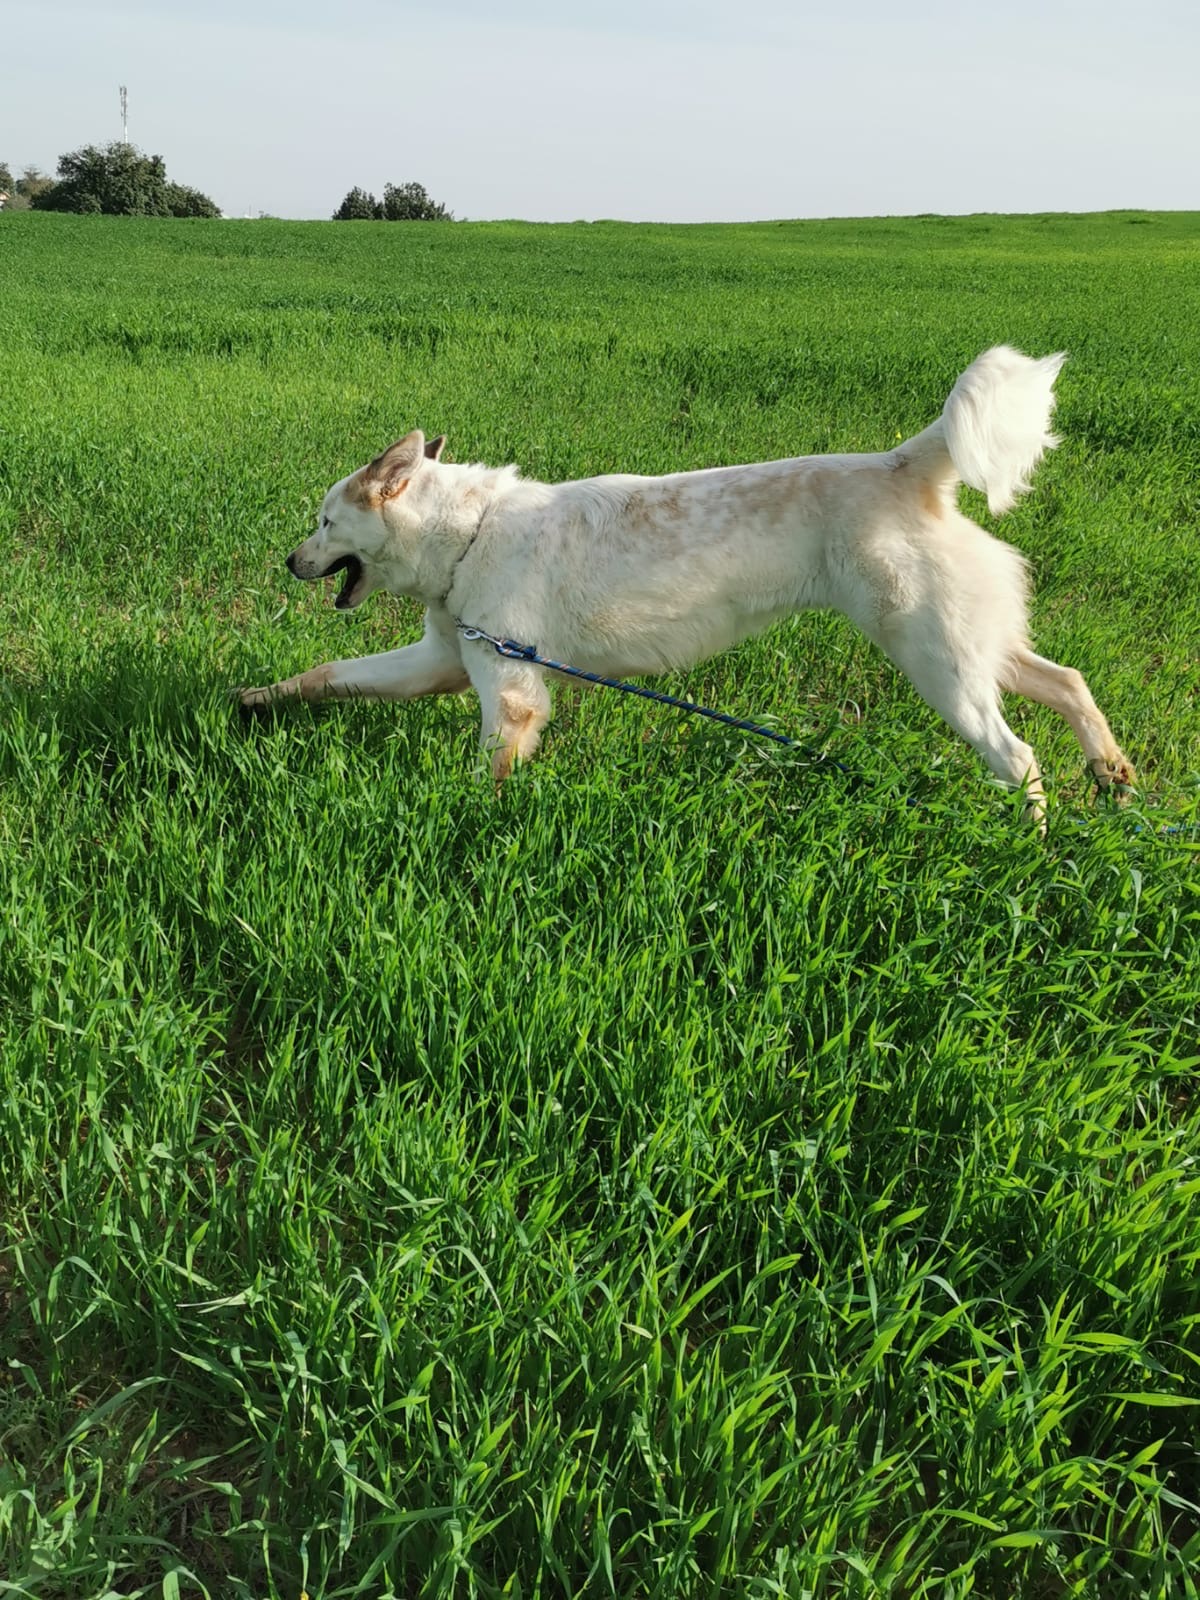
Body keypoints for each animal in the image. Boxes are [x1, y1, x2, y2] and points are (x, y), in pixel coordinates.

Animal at [241, 350, 1139, 825]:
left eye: (323, 520)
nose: (287, 562)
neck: (468, 532)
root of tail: (903, 463)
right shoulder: (440, 660)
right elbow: (328, 677)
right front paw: (254, 700)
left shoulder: (511, 687)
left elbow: (490, 768)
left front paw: (459, 821)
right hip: (966, 648)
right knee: (1066, 682)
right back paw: (1111, 771)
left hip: (934, 663)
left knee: (1018, 756)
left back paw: (1029, 841)